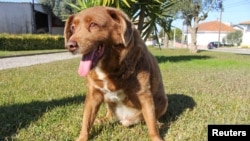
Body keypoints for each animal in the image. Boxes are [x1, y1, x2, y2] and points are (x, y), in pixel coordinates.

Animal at [65, 6, 168, 140]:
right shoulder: (93, 94)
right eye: (73, 28)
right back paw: (102, 120)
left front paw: (156, 137)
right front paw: (82, 137)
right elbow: (86, 120)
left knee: (153, 118)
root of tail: (127, 120)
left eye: (93, 24)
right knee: (109, 115)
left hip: (163, 102)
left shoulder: (144, 94)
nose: (69, 45)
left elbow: (151, 124)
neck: (109, 69)